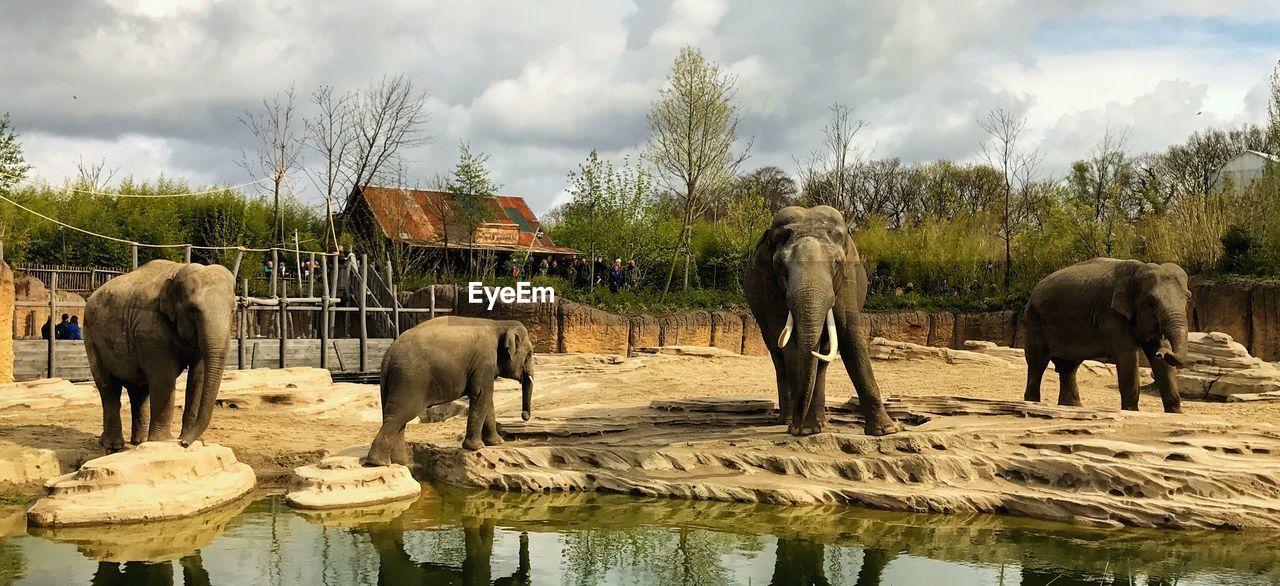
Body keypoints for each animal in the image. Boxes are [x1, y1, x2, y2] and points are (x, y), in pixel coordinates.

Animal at [83, 258, 236, 450]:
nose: (184, 443)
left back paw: (139, 442)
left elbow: (198, 377)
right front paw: (163, 441)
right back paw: (113, 446)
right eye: (193, 310)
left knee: (139, 392)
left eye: (233, 310)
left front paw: (193, 442)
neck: (177, 271)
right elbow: (163, 377)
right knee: (108, 387)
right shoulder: (150, 330)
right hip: (91, 338)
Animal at [366, 316, 535, 465]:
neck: (499, 323)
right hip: (410, 379)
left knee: (397, 419)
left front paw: (497, 443)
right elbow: (482, 395)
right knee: (399, 416)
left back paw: (400, 462)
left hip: (392, 382)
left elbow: (487, 400)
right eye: (530, 353)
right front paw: (477, 447)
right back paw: (379, 462)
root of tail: (389, 355)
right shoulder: (484, 361)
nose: (524, 416)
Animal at [742, 203, 901, 437]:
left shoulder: (847, 281)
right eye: (780, 266)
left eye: (837, 263)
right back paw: (789, 421)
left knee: (822, 359)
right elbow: (791, 347)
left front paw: (887, 431)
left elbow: (850, 335)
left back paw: (818, 424)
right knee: (779, 358)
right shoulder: (770, 289)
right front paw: (801, 429)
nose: (796, 428)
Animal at [1018, 258, 1187, 414]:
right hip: (1034, 320)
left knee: (1069, 366)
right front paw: (1131, 410)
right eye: (1150, 302)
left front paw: (1175, 412)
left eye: (1188, 297)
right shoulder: (1110, 314)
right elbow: (1128, 356)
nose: (1161, 354)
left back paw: (1071, 406)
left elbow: (1159, 358)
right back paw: (1033, 402)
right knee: (1038, 362)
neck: (1137, 269)